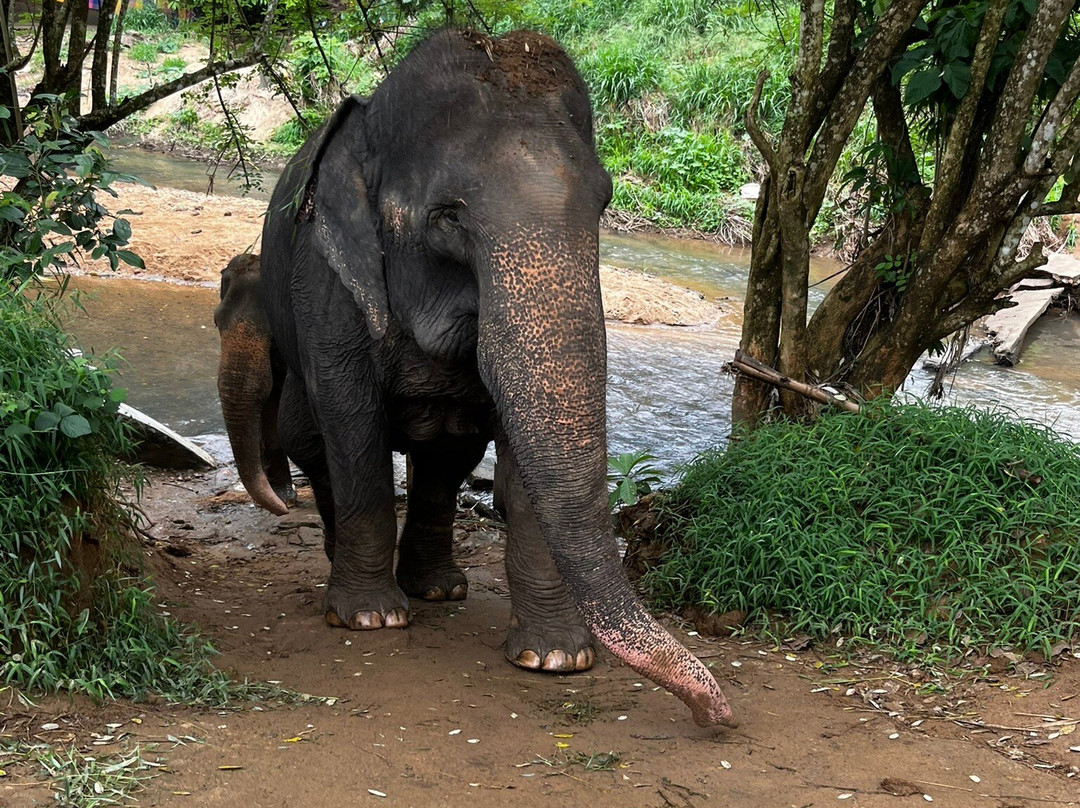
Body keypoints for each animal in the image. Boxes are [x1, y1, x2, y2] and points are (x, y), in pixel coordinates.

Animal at [219, 28, 736, 728]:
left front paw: (556, 658)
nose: (718, 713)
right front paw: (369, 620)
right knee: (325, 448)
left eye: (603, 202)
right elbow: (352, 423)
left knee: (446, 459)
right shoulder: (324, 282)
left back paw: (438, 588)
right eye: (448, 217)